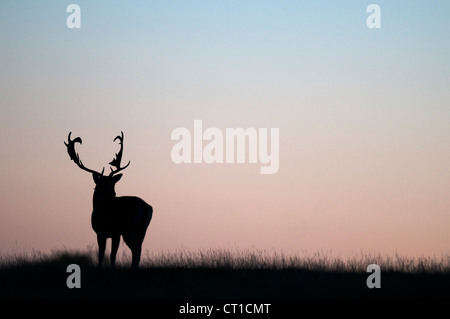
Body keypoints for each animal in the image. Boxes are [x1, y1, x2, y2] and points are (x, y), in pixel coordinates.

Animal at [64, 131, 154, 268]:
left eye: (113, 184)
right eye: (103, 184)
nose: (113, 194)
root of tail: (147, 207)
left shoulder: (108, 232)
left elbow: (107, 255)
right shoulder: (107, 233)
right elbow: (106, 255)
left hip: (128, 229)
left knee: (136, 249)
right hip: (142, 230)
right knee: (139, 249)